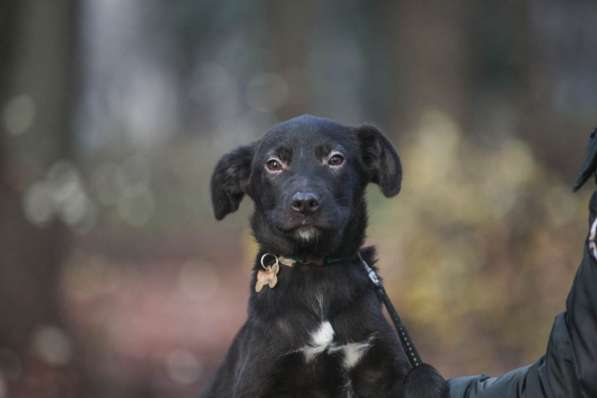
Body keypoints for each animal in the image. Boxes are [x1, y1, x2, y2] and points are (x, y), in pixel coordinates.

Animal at [203, 115, 444, 398]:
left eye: (336, 159)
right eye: (273, 164)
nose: (305, 203)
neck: (315, 270)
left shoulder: (381, 362)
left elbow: (423, 374)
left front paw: (427, 383)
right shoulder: (259, 377)